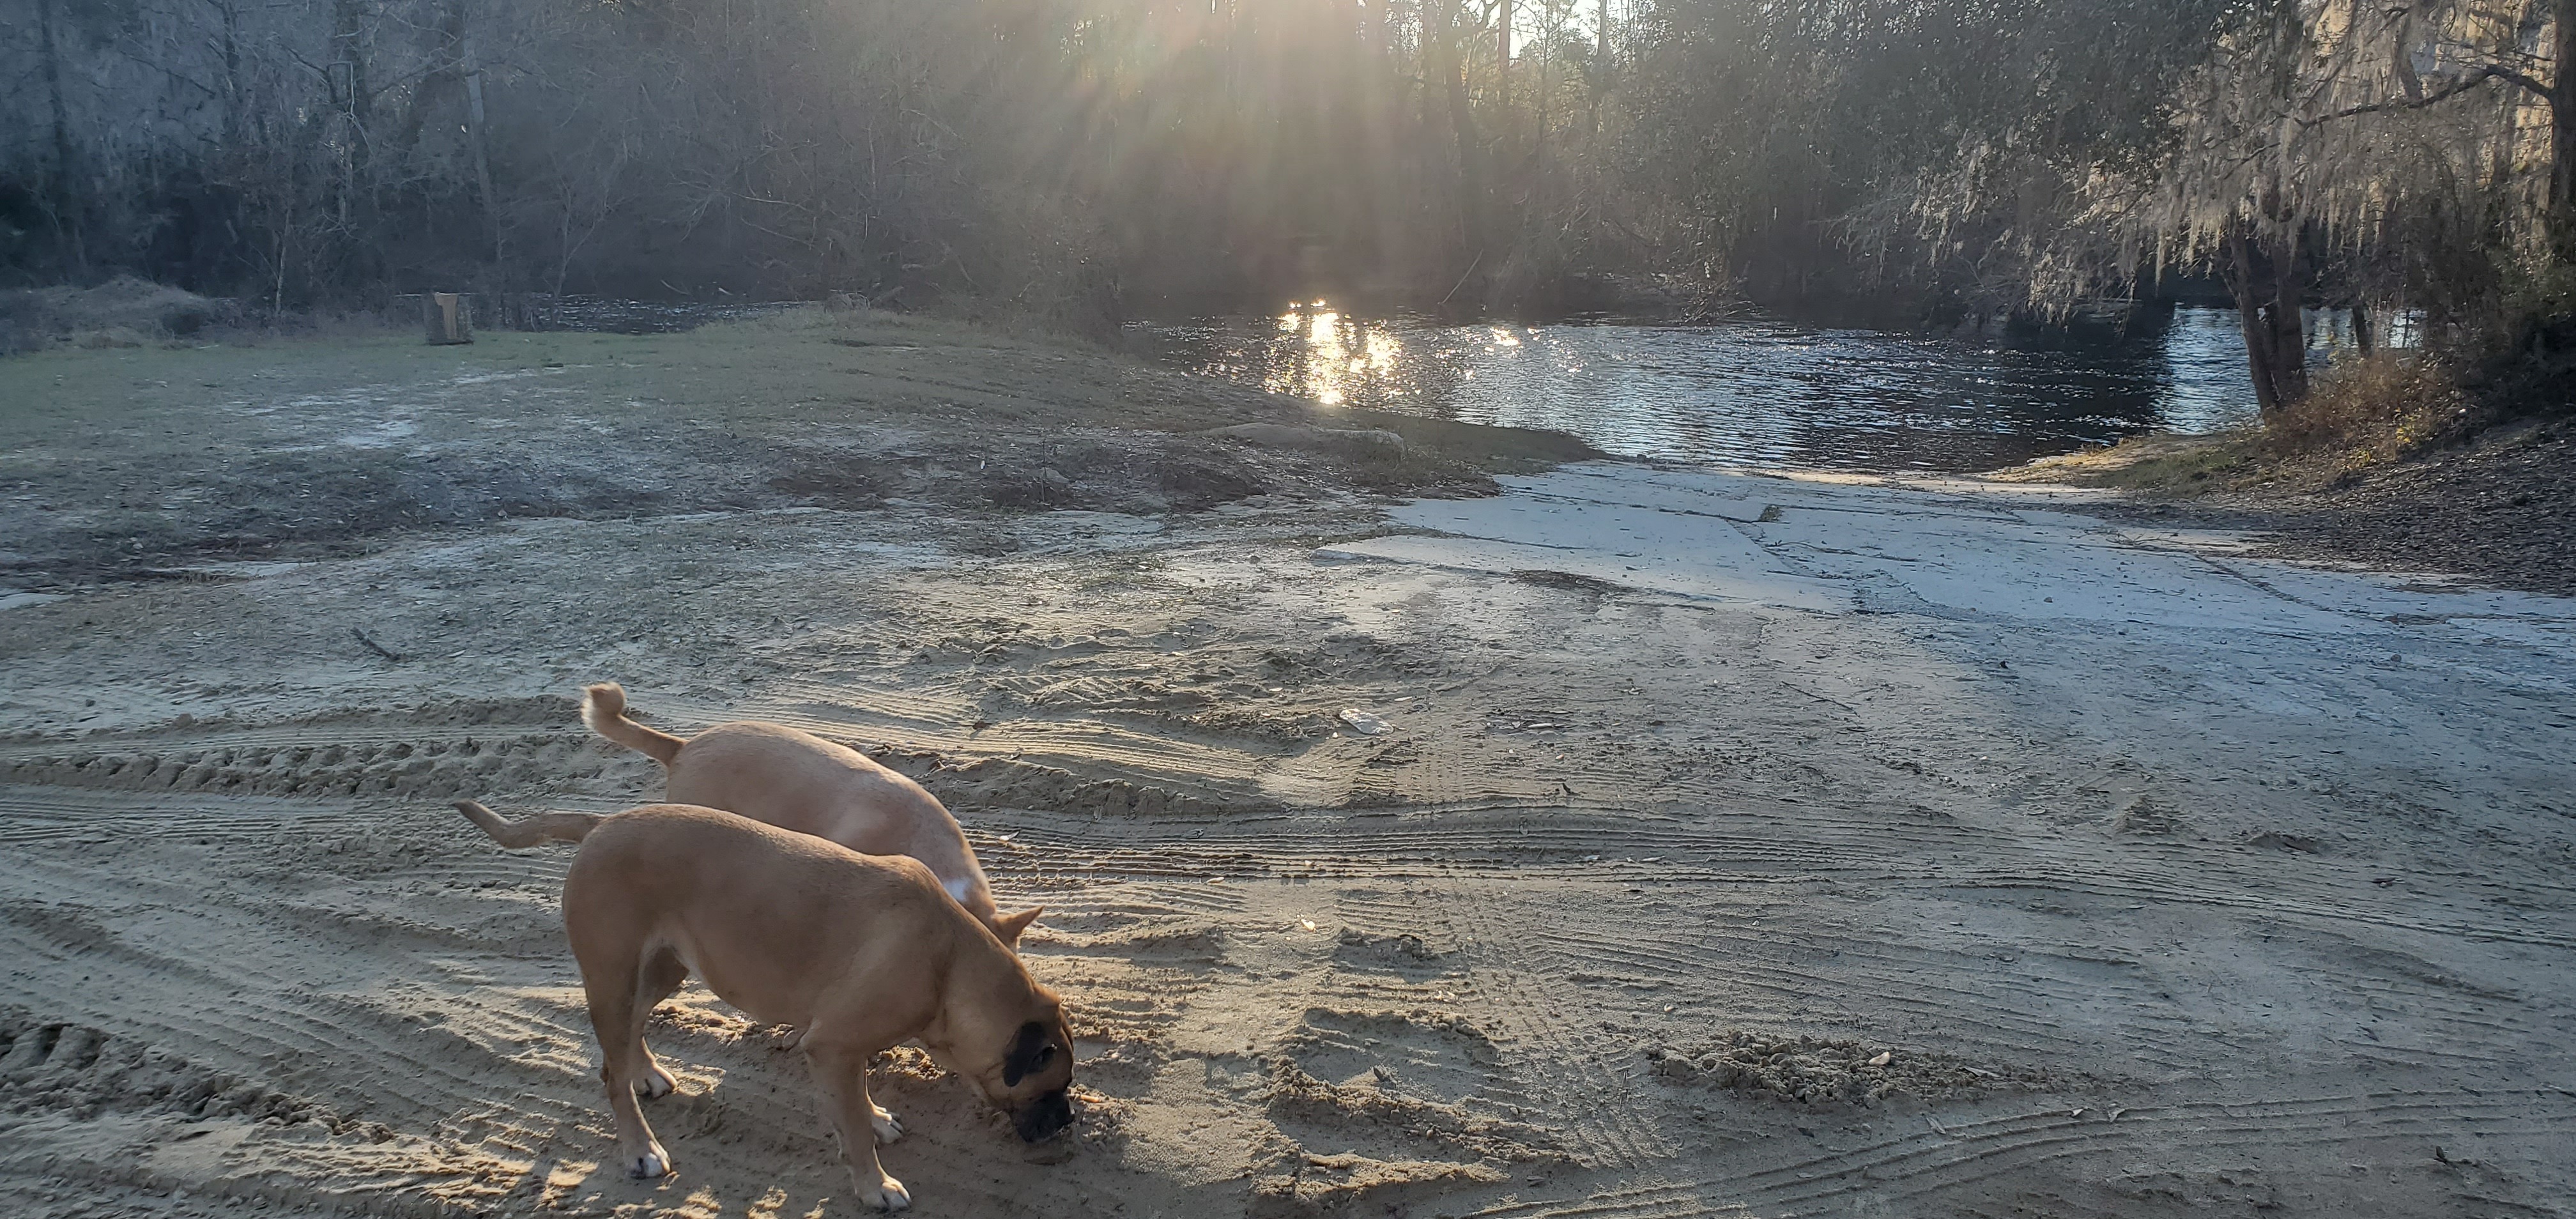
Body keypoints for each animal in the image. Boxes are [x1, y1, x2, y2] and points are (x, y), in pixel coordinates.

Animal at [458, 799, 1071, 1206]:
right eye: (1051, 1087)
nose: (1066, 1122)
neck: (948, 962)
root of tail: (602, 824)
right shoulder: (833, 1046)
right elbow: (850, 1125)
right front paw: (875, 1184)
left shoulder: (843, 1048)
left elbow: (857, 1102)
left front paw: (873, 1120)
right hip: (612, 977)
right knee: (610, 1073)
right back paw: (640, 1148)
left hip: (663, 970)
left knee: (630, 1036)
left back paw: (646, 1073)